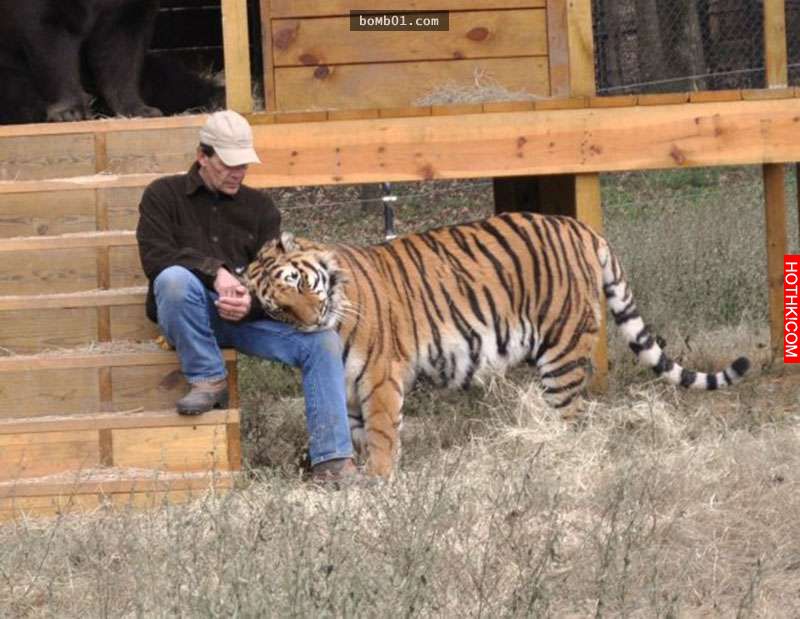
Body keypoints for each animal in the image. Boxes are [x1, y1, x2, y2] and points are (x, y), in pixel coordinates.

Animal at [245, 211, 750, 478]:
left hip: (562, 354)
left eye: (299, 282)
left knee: (575, 417)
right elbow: (356, 435)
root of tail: (585, 229)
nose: (312, 321)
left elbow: (384, 436)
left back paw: (559, 459)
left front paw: (380, 480)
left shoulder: (381, 378)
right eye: (278, 309)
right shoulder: (349, 390)